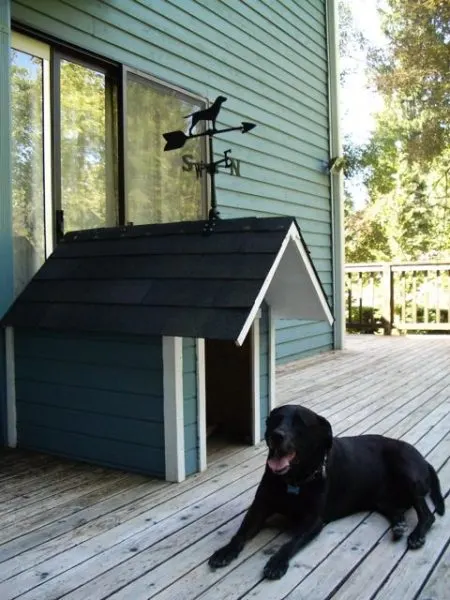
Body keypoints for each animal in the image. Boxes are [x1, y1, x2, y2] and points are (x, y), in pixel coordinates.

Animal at [209, 406, 444, 580]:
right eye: (275, 420)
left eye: (300, 423)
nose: (277, 435)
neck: (293, 481)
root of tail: (424, 460)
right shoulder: (259, 508)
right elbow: (240, 533)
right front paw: (225, 551)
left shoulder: (313, 520)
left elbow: (291, 542)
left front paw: (277, 562)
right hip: (383, 500)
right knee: (397, 511)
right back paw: (399, 526)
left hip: (406, 472)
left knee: (427, 514)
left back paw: (416, 535)